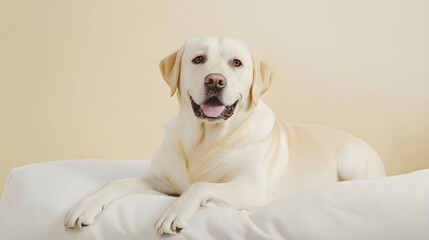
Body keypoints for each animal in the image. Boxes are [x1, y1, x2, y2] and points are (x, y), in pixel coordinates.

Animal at [62, 37, 384, 234]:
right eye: (198, 59)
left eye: (236, 63)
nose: (215, 81)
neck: (205, 140)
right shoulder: (163, 182)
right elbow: (117, 182)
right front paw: (85, 206)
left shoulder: (251, 188)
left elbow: (199, 186)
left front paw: (175, 213)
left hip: (350, 160)